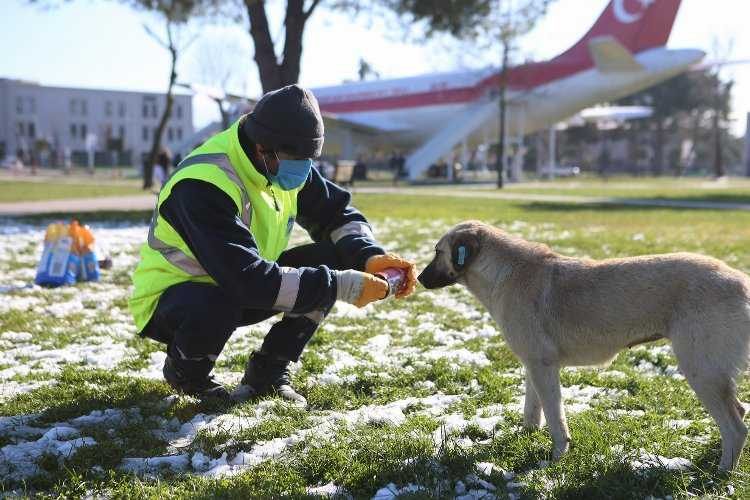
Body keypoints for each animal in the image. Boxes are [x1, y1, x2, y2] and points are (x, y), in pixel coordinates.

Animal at [418, 221, 750, 470]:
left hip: (701, 371)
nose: (419, 278)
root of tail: (742, 282)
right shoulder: (533, 365)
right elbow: (532, 409)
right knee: (740, 412)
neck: (503, 272)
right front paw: (525, 436)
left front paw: (556, 459)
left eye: (437, 252)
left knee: (735, 427)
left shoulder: (543, 367)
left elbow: (555, 420)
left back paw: (720, 474)